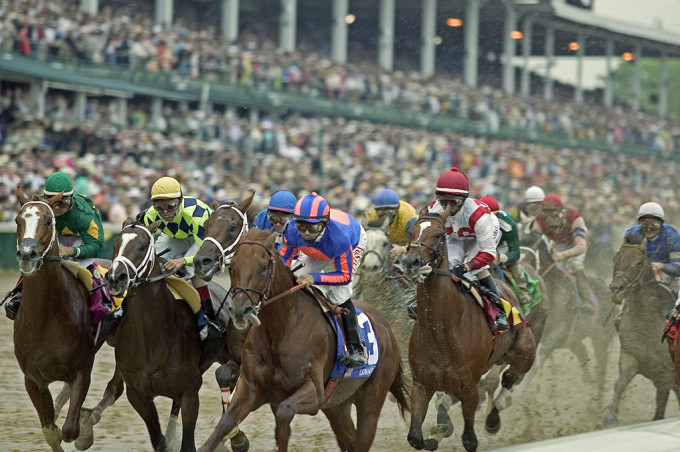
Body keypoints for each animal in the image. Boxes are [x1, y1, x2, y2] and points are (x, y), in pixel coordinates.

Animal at [12, 190, 117, 452]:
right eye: (18, 220)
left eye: (48, 221)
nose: (27, 255)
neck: (46, 317)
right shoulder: (33, 379)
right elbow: (51, 431)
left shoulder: (82, 370)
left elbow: (70, 430)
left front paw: (84, 432)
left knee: (116, 385)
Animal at [107, 217, 251, 450]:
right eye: (115, 243)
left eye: (142, 246)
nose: (115, 278)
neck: (151, 337)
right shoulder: (138, 395)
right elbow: (159, 442)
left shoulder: (190, 391)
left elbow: (188, 443)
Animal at [197, 230, 410, 452]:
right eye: (232, 266)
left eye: (263, 267)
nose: (240, 311)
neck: (280, 331)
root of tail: (386, 326)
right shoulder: (251, 387)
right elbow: (224, 424)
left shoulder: (314, 394)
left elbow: (284, 412)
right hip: (337, 406)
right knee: (349, 438)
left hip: (371, 401)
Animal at [398, 210, 536, 450]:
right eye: (411, 231)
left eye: (438, 234)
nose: (411, 263)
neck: (441, 329)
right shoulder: (422, 383)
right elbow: (415, 437)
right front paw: (435, 435)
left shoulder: (470, 387)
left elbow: (469, 440)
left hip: (524, 353)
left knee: (509, 377)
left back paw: (493, 418)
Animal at [604, 240, 680, 424]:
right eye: (615, 259)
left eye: (638, 262)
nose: (617, 288)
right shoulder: (630, 356)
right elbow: (620, 383)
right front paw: (610, 415)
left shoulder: (669, 370)